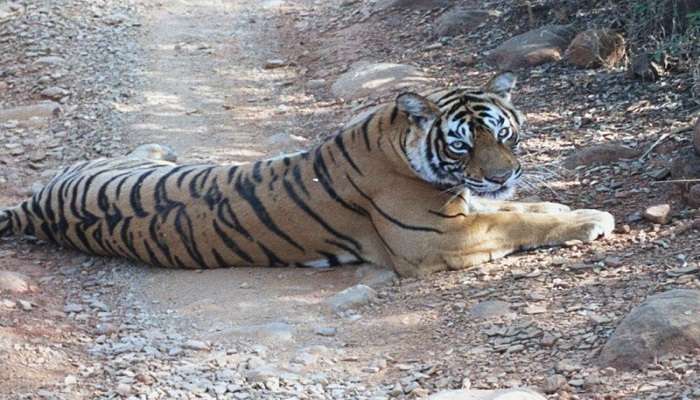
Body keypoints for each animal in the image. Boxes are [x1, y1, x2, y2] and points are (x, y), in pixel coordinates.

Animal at [0, 72, 612, 276]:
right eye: (462, 144)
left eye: (504, 134)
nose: (504, 172)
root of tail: (32, 209)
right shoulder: (434, 238)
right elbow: (516, 222)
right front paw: (590, 219)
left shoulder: (465, 206)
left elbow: (515, 208)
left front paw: (557, 204)